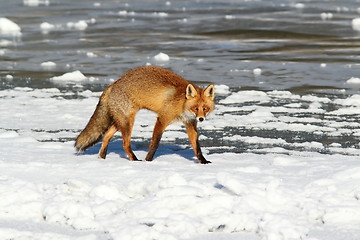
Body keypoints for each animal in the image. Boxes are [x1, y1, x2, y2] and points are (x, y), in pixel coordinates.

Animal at [73, 65, 214, 163]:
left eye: (205, 108)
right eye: (195, 108)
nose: (201, 119)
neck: (181, 104)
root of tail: (113, 84)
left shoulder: (190, 123)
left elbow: (197, 147)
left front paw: (203, 162)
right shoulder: (162, 119)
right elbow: (155, 143)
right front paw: (148, 160)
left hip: (121, 121)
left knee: (107, 134)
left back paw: (102, 157)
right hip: (127, 122)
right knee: (125, 144)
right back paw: (135, 160)